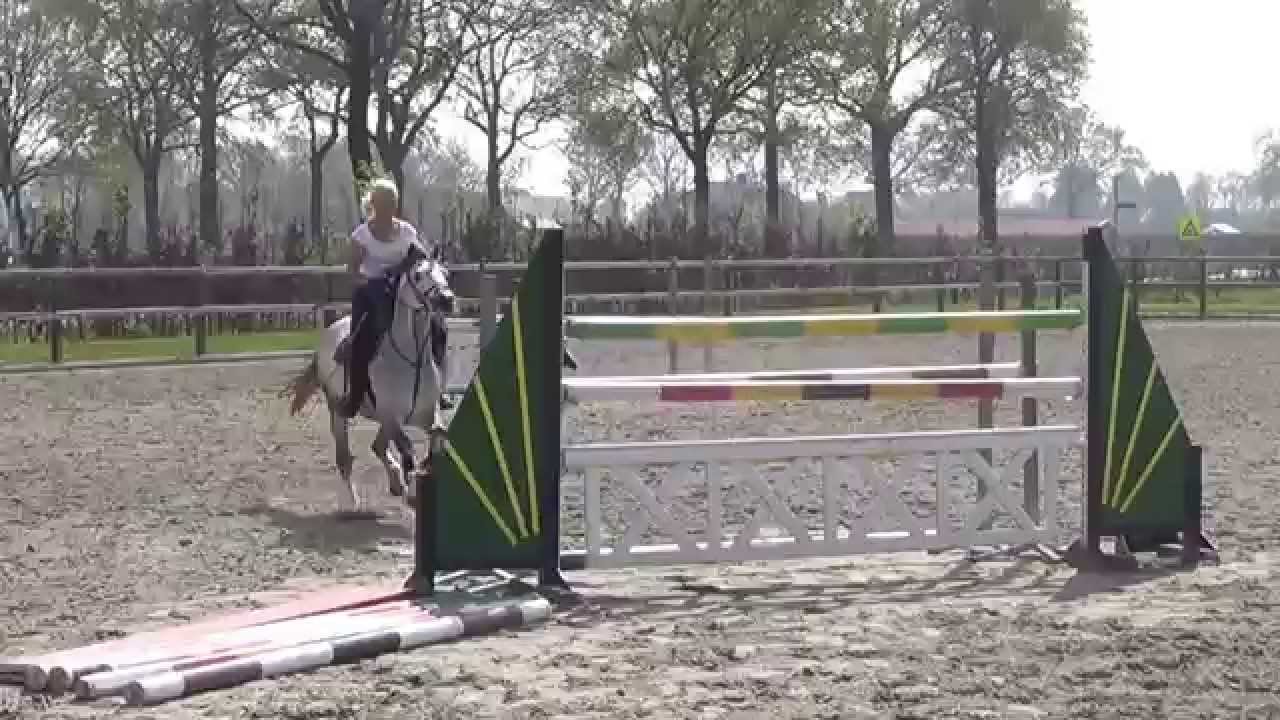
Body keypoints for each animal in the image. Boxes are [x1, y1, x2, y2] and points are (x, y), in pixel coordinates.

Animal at [281, 249, 455, 514]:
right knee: (345, 457)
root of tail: (332, 330)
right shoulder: (391, 416)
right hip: (338, 411)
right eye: (418, 274)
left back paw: (395, 483)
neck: (410, 360)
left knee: (378, 446)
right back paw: (351, 503)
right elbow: (407, 448)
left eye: (445, 272)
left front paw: (418, 476)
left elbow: (439, 436)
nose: (446, 299)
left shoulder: (426, 414)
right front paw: (413, 492)